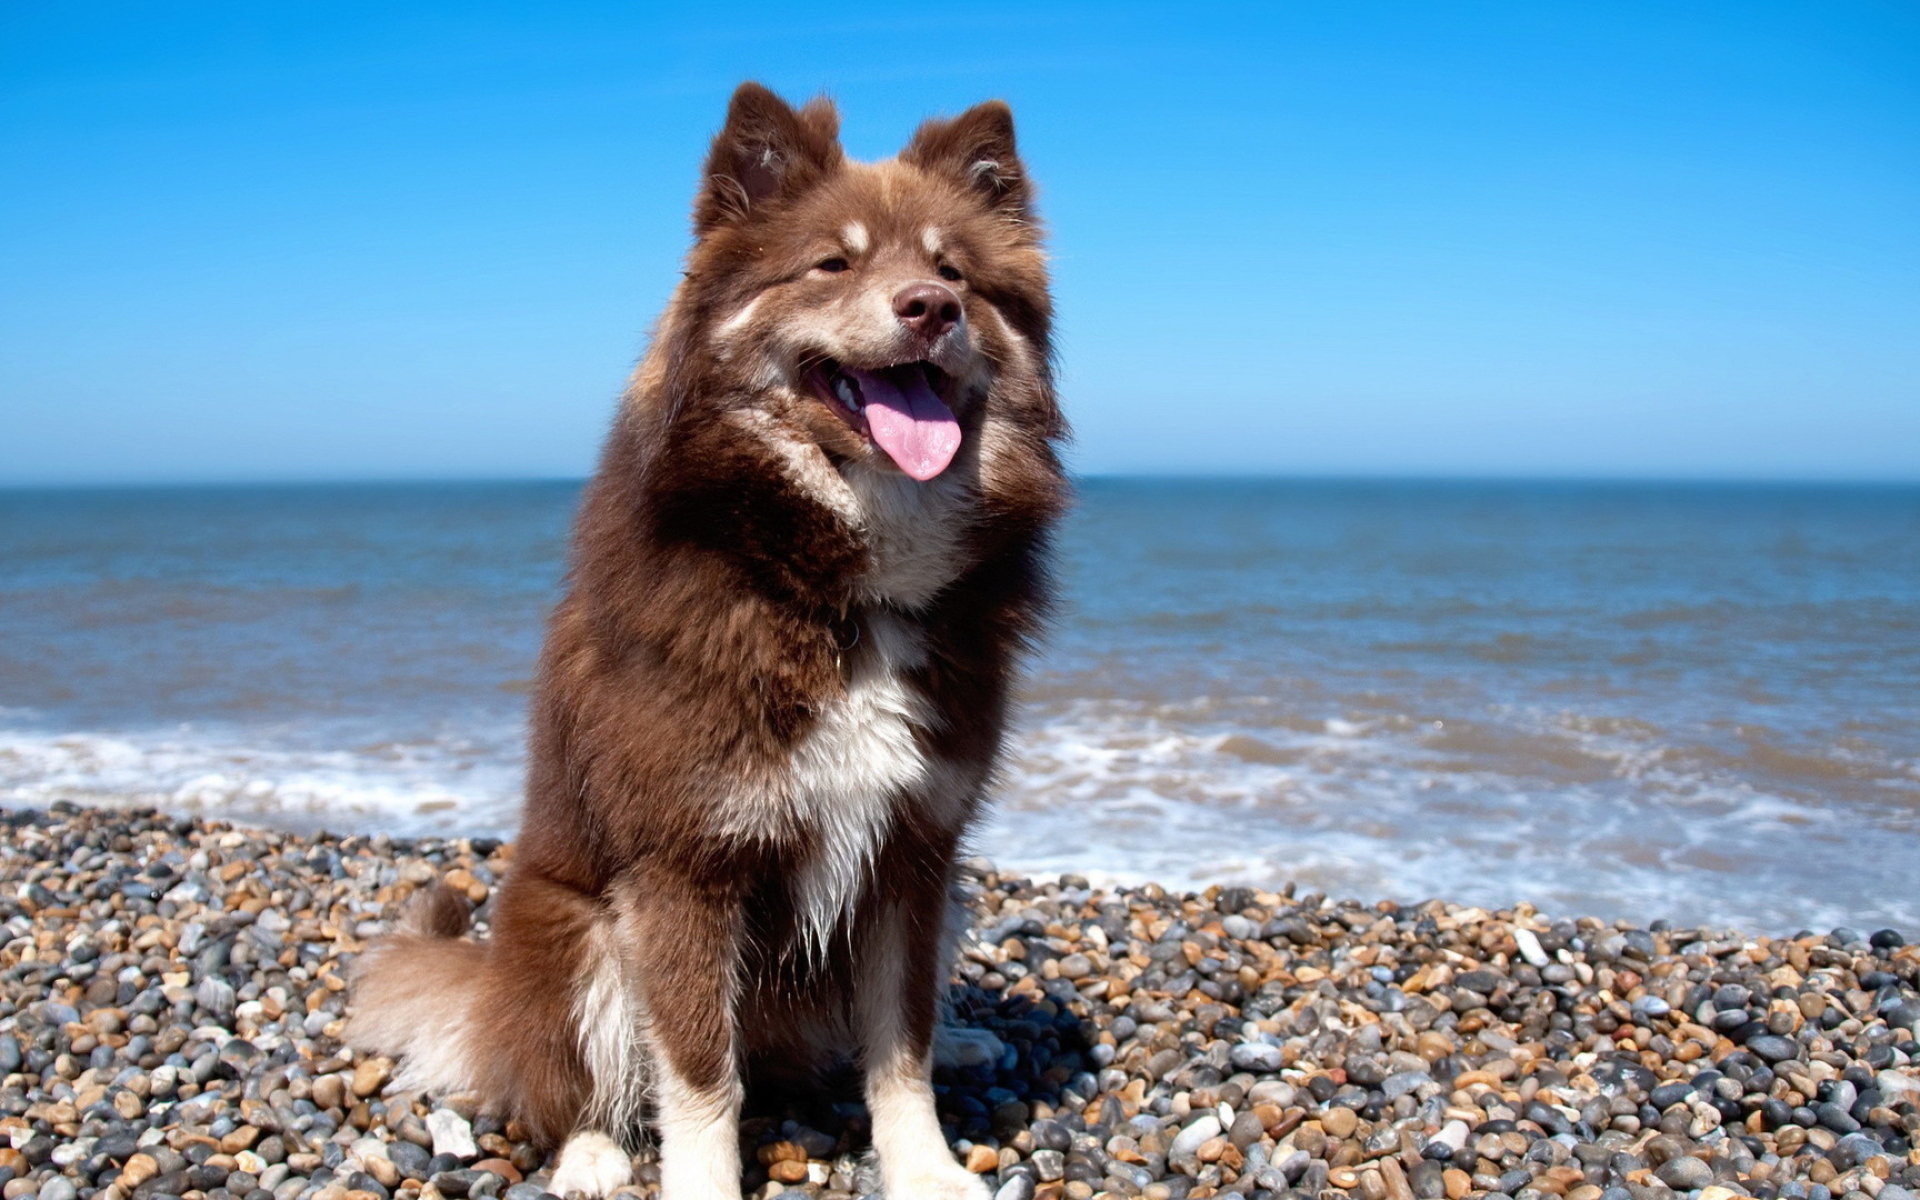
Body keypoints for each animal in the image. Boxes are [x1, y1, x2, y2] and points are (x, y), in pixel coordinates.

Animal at [345, 84, 1067, 1198]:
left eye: (953, 273)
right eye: (833, 264)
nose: (930, 310)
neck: (836, 588)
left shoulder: (913, 853)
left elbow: (896, 1046)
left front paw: (926, 1163)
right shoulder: (685, 869)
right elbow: (697, 1075)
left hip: (950, 896)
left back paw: (961, 1041)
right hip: (579, 938)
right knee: (559, 1087)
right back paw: (592, 1156)